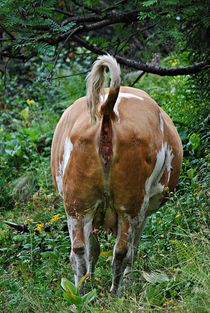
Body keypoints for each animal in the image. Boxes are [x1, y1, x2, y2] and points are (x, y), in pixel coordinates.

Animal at [50, 54, 182, 294]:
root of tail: (107, 110)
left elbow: (96, 248)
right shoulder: (143, 213)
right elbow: (131, 248)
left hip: (77, 203)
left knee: (80, 251)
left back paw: (84, 292)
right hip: (131, 204)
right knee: (121, 251)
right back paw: (118, 292)